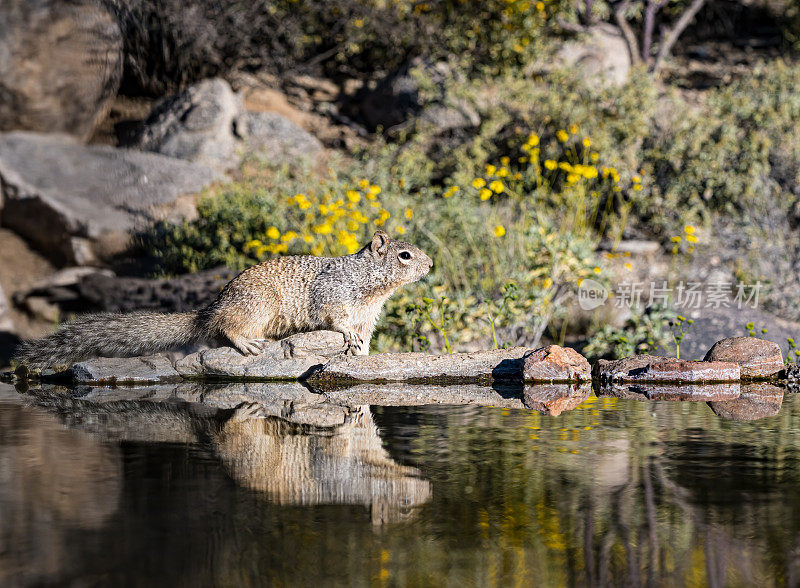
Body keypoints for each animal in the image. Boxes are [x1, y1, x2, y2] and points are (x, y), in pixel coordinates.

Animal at [14, 230, 432, 368]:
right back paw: (246, 342)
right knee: (227, 327)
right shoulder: (335, 295)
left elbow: (365, 334)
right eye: (404, 255)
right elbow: (335, 317)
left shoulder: (369, 315)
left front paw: (363, 350)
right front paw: (347, 337)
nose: (431, 263)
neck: (373, 288)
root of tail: (210, 308)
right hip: (257, 306)